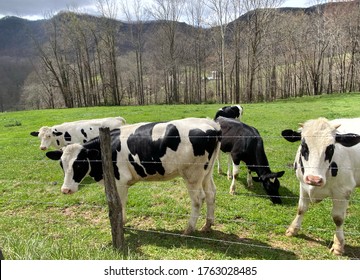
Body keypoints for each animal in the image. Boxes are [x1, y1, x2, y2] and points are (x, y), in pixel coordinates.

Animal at [46, 117, 221, 234]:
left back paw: (189, 229)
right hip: (206, 173)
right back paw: (207, 225)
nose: (66, 190)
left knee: (198, 200)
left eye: (79, 164)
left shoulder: (120, 181)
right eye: (62, 164)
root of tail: (210, 123)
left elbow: (120, 203)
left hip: (192, 175)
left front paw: (121, 223)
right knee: (211, 194)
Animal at [282, 117, 360, 255]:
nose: (314, 179)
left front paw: (338, 245)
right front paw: (293, 229)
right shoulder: (303, 184)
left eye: (331, 148)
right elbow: (301, 208)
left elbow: (338, 218)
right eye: (304, 146)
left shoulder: (343, 191)